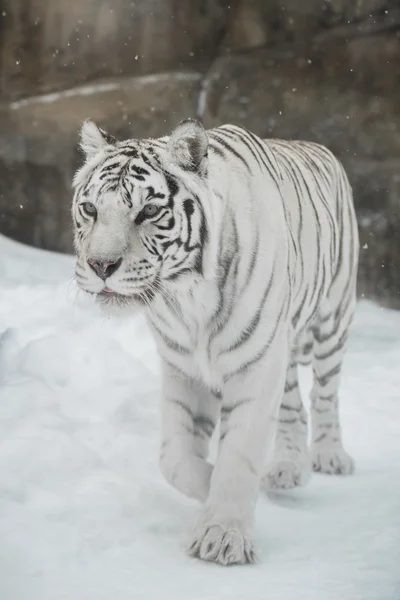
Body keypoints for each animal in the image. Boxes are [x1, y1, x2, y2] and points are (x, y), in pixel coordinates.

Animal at [71, 118, 360, 568]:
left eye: (149, 211)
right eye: (90, 209)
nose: (101, 265)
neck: (185, 298)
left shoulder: (257, 365)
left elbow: (238, 454)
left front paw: (224, 537)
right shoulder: (184, 368)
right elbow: (174, 459)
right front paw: (219, 494)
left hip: (332, 317)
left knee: (325, 394)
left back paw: (329, 456)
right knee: (294, 406)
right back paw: (287, 468)